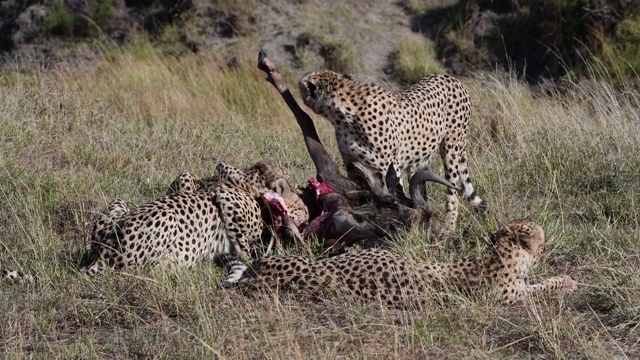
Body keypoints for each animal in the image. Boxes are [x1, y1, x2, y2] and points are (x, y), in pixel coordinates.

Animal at [1, 160, 308, 282]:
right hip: (163, 229)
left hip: (117, 208)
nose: (305, 222)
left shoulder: (188, 180)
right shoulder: (228, 199)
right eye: (304, 209)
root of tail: (102, 253)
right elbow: (243, 245)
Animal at [298, 71, 484, 232]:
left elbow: (394, 194)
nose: (299, 84)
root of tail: (448, 77)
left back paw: (449, 226)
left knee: (452, 191)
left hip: (451, 148)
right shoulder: (352, 166)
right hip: (422, 159)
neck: (342, 116)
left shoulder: (388, 165)